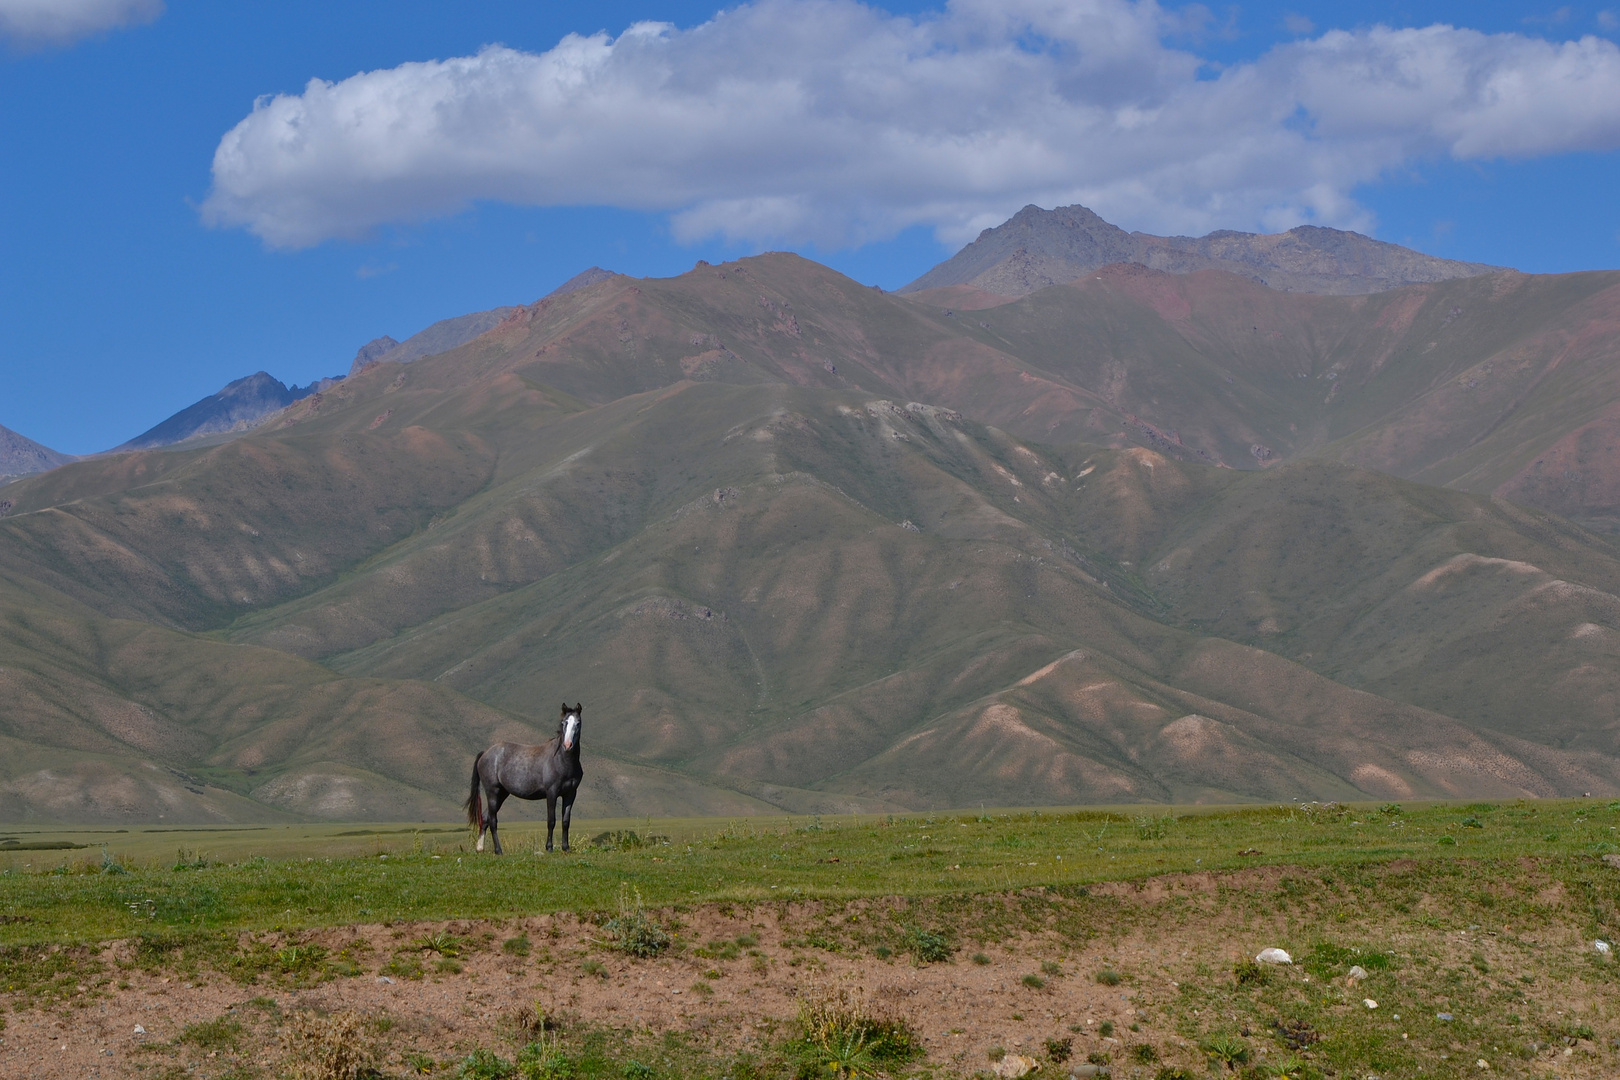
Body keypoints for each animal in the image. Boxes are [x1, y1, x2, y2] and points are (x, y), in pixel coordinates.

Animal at [466, 705, 586, 854]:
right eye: (564, 723)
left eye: (578, 723)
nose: (568, 745)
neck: (563, 761)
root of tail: (485, 753)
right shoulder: (551, 793)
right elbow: (551, 821)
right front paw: (549, 847)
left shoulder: (570, 794)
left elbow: (566, 821)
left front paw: (566, 847)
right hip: (492, 792)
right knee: (493, 820)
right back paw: (498, 850)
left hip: (502, 793)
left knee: (485, 818)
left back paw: (480, 848)